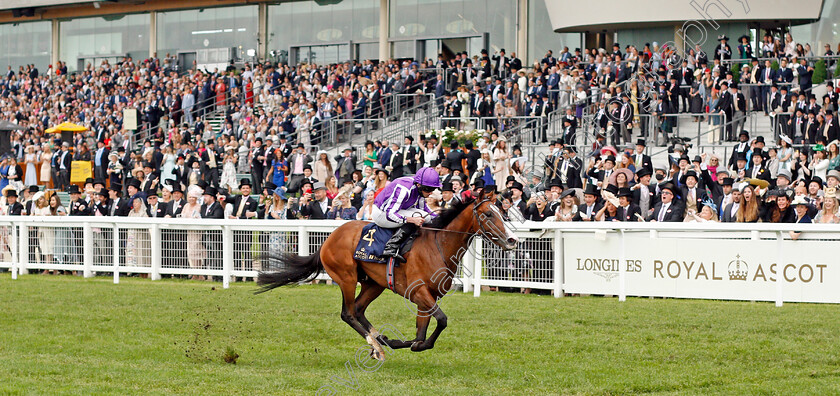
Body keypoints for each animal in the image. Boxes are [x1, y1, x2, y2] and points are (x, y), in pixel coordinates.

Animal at [256, 188, 520, 358]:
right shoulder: (419, 292)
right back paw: (377, 346)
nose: (512, 240)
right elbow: (440, 322)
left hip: (375, 283)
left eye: (502, 212)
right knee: (348, 313)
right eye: (488, 214)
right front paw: (393, 342)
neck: (438, 245)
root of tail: (329, 238)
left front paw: (396, 341)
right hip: (347, 278)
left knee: (359, 310)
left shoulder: (429, 297)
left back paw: (377, 342)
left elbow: (421, 334)